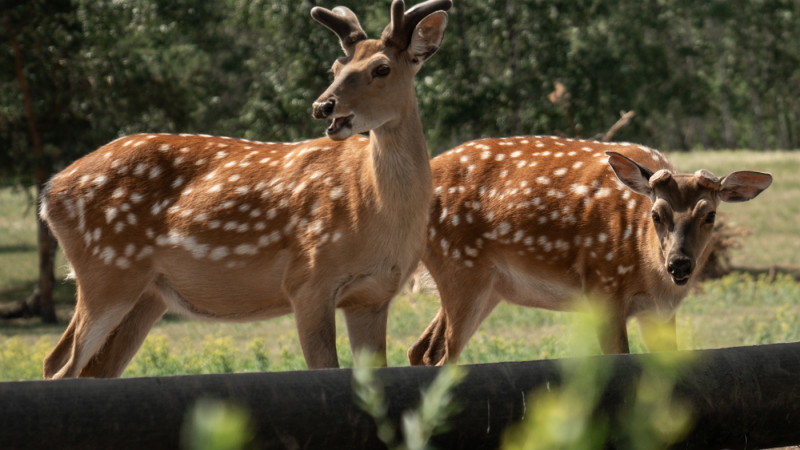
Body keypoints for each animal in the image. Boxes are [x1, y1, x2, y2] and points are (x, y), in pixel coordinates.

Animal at [43, 0, 454, 378]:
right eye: (336, 68)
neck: (372, 206)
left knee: (91, 368)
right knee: (59, 365)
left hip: (145, 295)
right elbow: (326, 369)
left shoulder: (372, 296)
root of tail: (50, 192)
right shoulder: (308, 279)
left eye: (382, 68)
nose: (323, 106)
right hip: (106, 271)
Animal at [410, 137, 772, 366]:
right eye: (656, 214)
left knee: (420, 349)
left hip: (488, 286)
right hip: (461, 266)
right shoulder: (602, 287)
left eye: (710, 215)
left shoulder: (660, 311)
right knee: (439, 355)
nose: (679, 265)